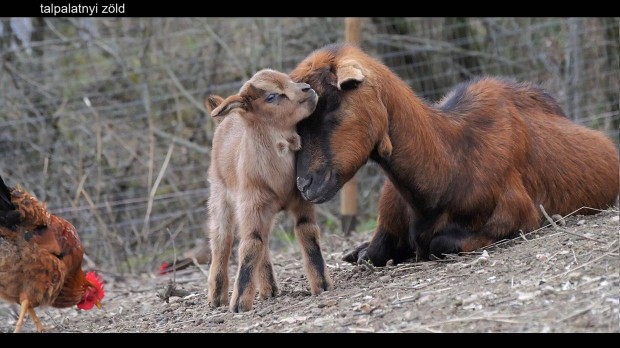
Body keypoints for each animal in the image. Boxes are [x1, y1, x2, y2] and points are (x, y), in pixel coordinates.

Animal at [290, 44, 620, 266]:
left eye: (331, 107)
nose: (305, 184)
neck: (451, 161)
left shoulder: (518, 216)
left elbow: (440, 242)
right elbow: (370, 254)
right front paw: (359, 251)